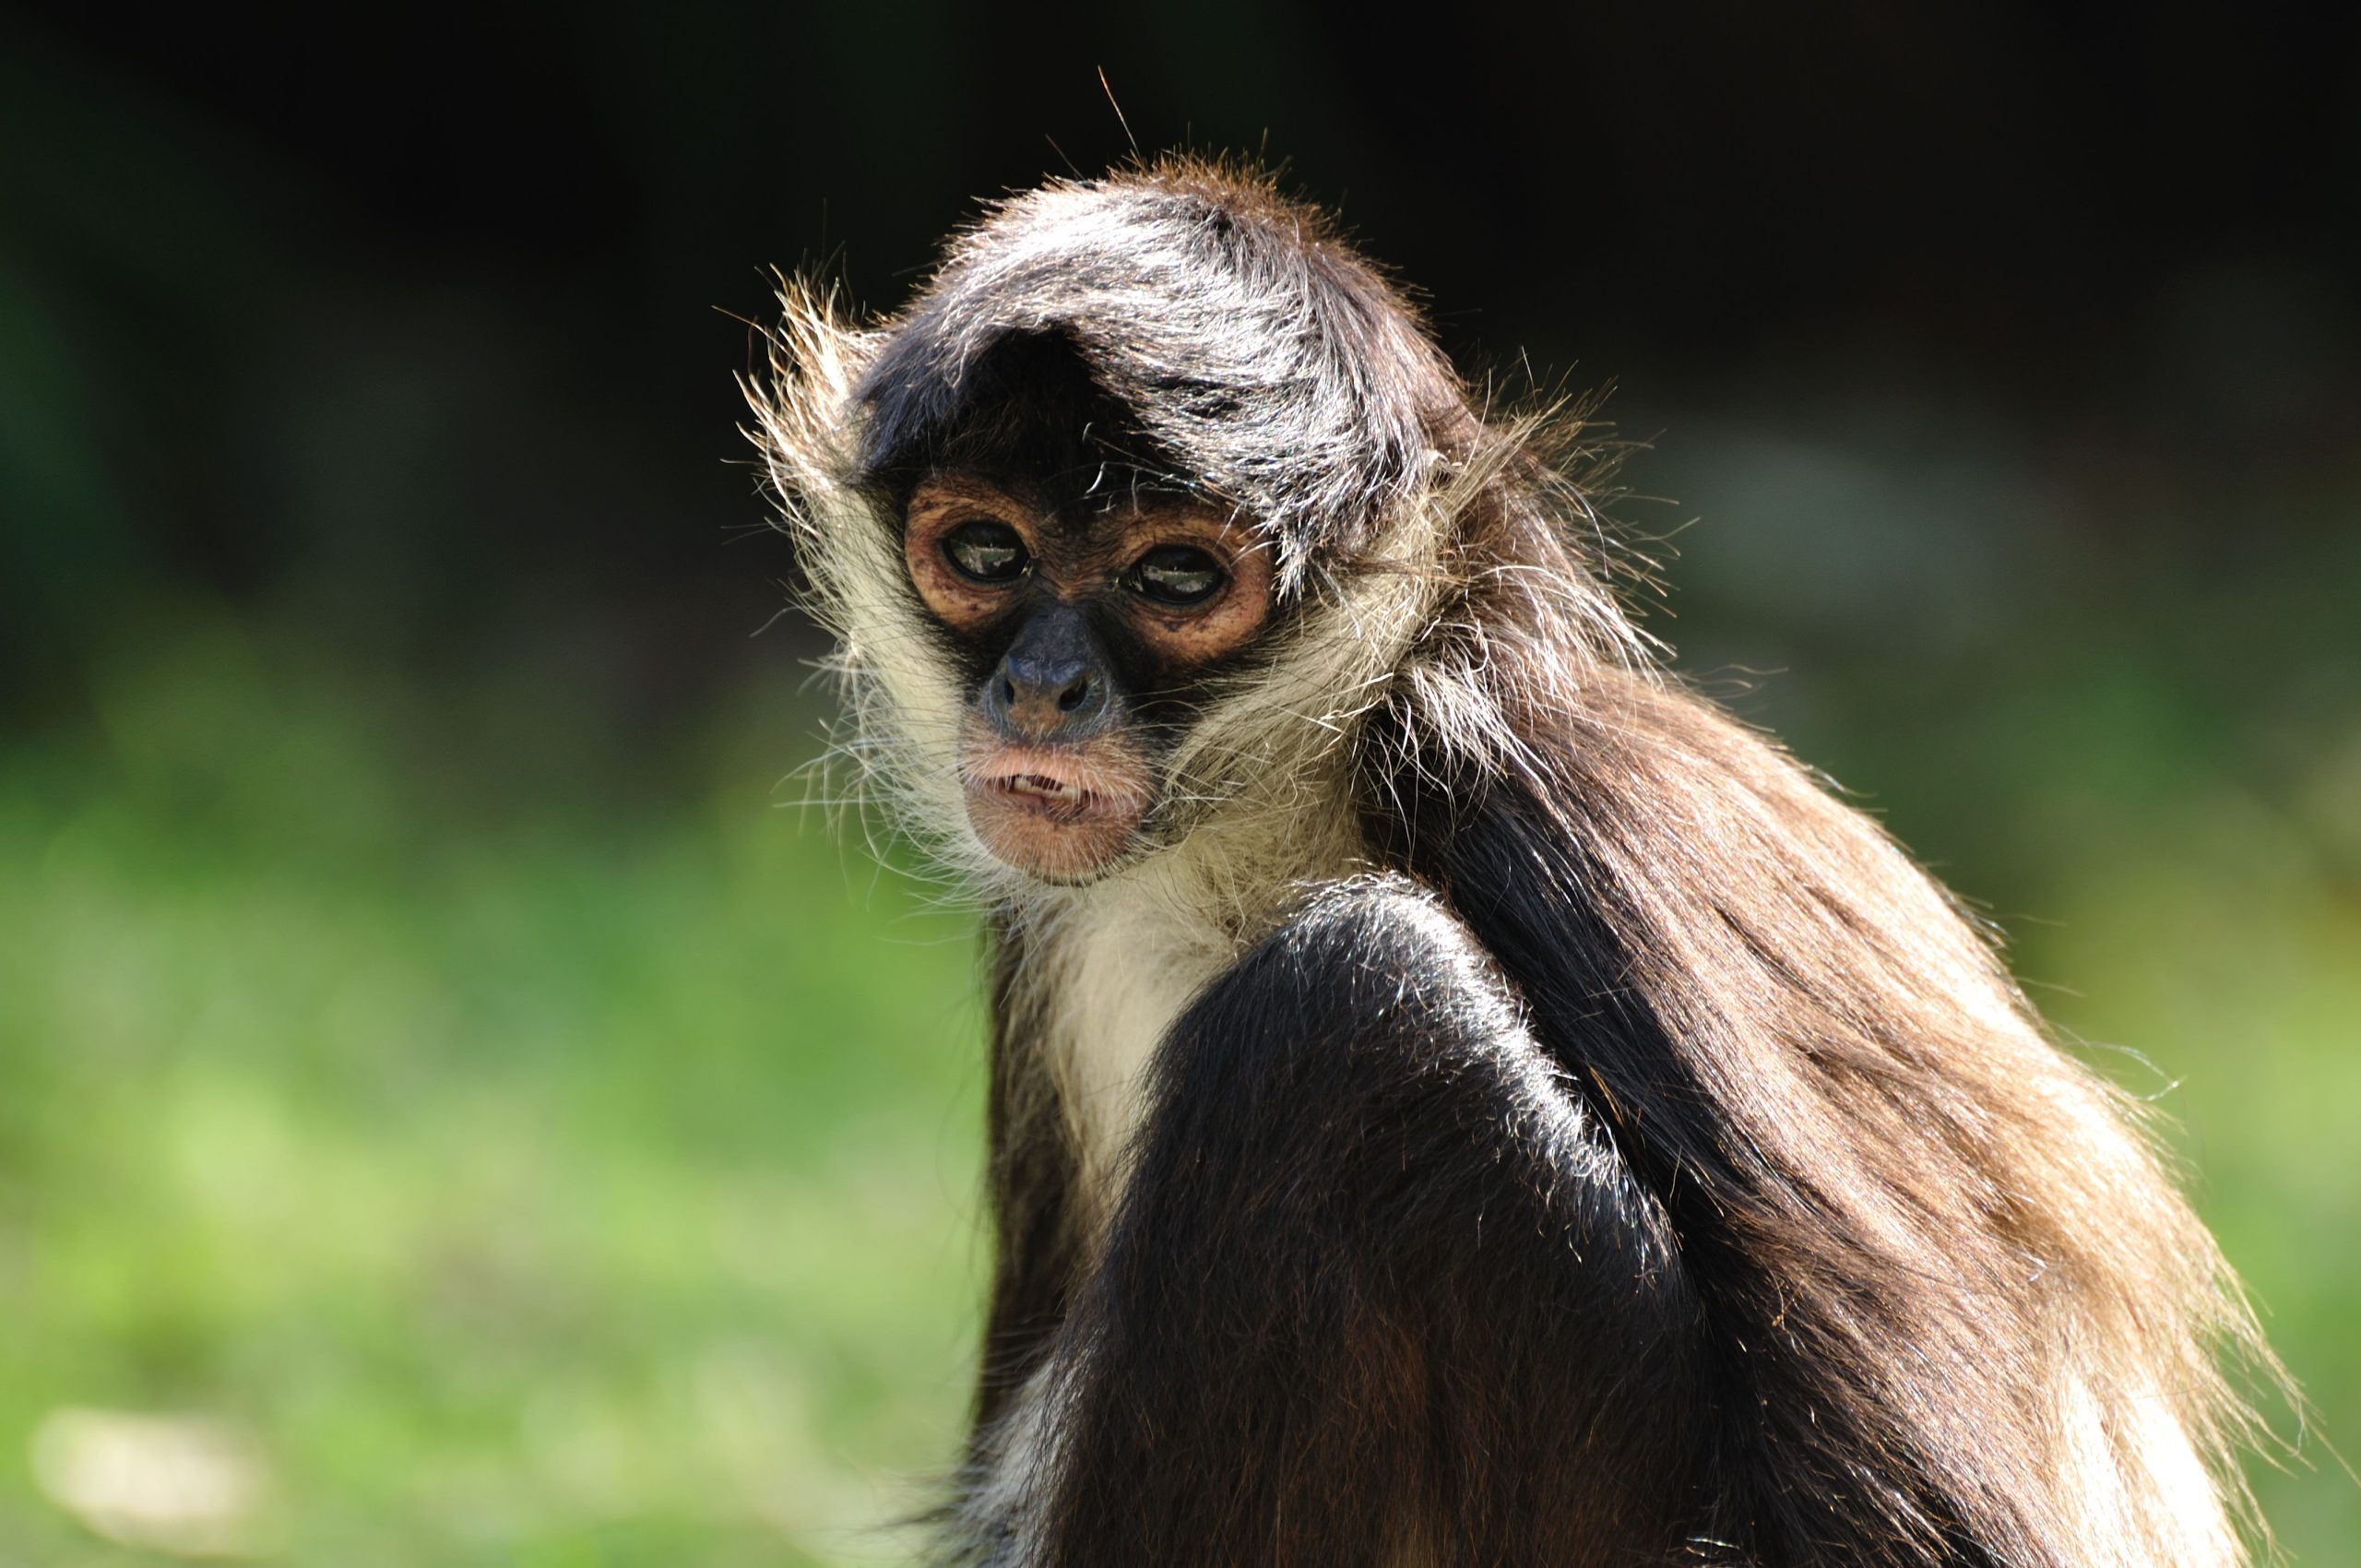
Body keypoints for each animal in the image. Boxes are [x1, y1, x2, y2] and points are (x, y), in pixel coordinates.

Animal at [748, 157, 2281, 1568]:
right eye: (984, 553)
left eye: (1175, 580)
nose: (1043, 690)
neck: (1291, 825)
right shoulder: (1062, 925)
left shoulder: (1567, 813)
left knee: (1354, 994)